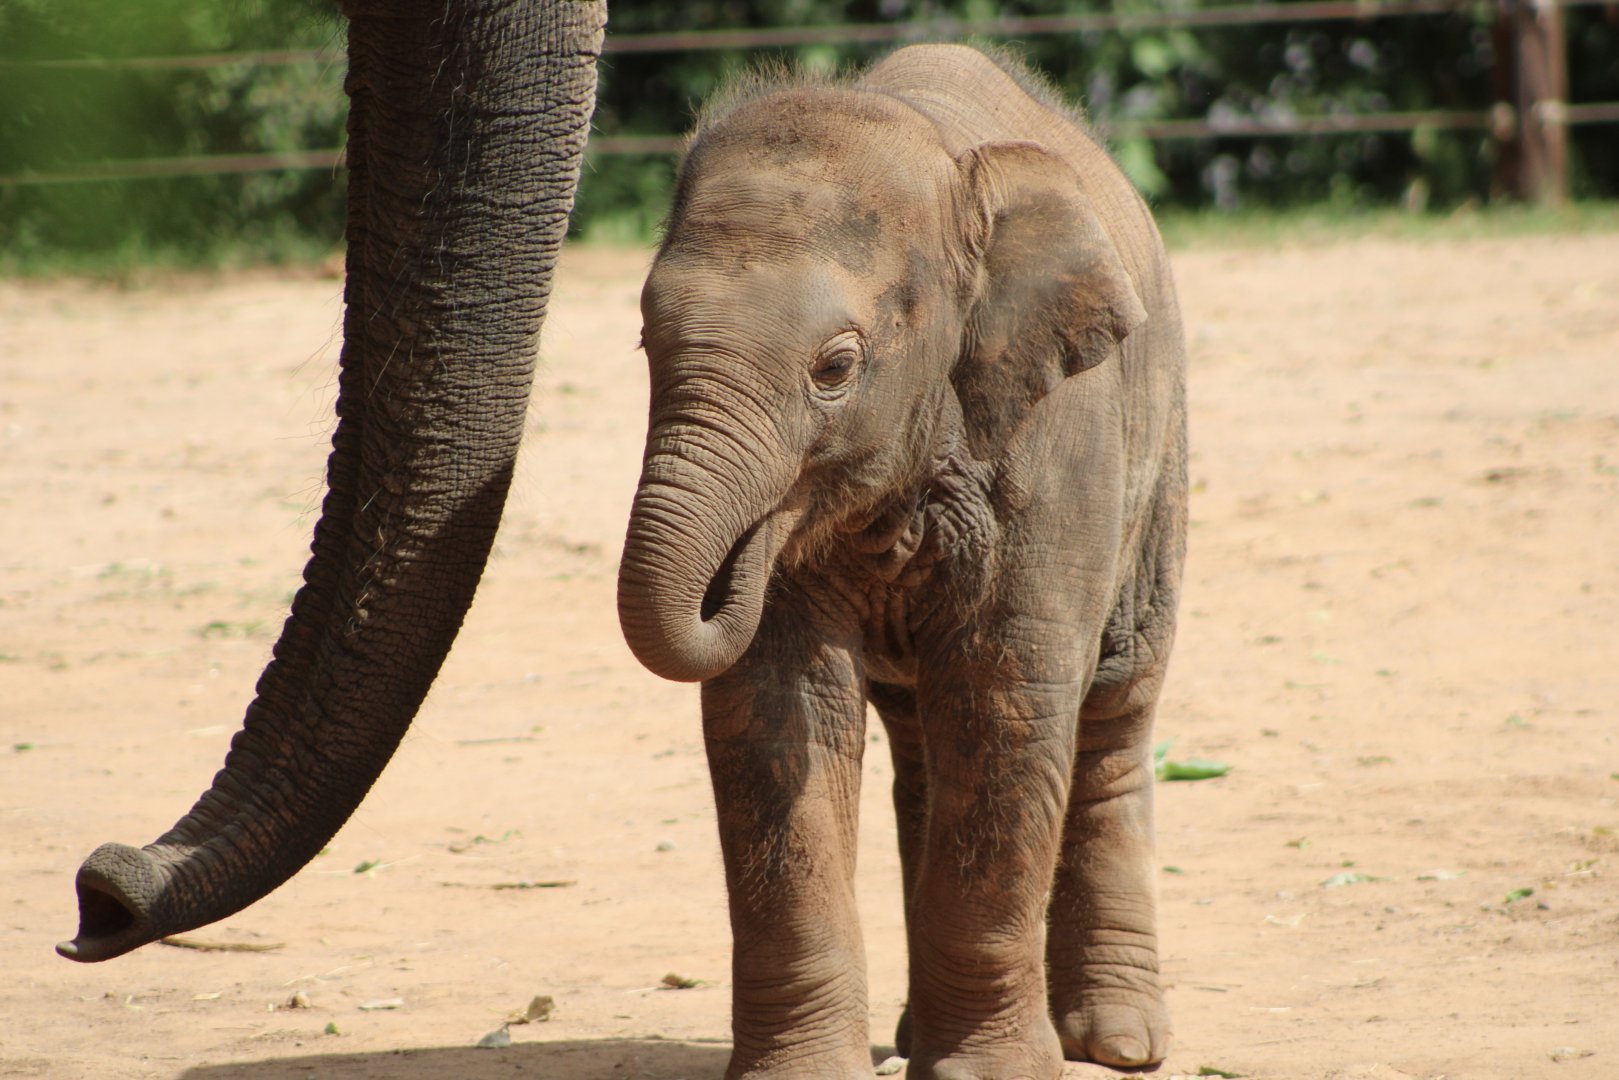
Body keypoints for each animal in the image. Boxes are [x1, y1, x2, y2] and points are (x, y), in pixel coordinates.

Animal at [616, 43, 1187, 1080]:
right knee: (925, 741)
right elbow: (779, 707)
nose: (737, 562)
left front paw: (994, 1075)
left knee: (1115, 709)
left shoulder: (1055, 439)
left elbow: (1010, 692)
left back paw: (1117, 1042)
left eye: (835, 368)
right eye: (645, 341)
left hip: (1159, 462)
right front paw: (802, 1074)